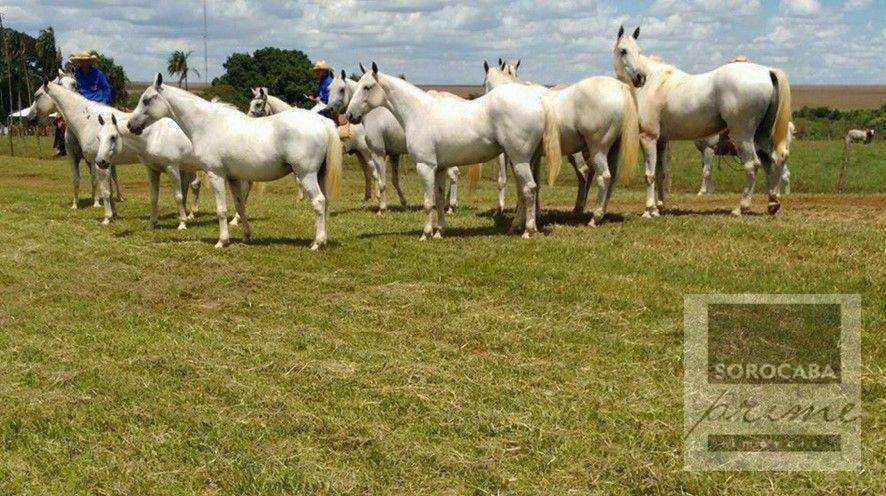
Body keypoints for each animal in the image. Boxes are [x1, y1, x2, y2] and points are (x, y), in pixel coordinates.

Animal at [31, 70, 122, 207]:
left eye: (37, 96)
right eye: (60, 83)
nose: (31, 119)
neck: (83, 123)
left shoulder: (94, 159)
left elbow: (95, 179)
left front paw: (96, 203)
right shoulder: (73, 157)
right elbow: (76, 179)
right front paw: (75, 204)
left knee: (114, 176)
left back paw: (118, 197)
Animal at [128, 72, 344, 248]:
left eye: (146, 100)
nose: (130, 125)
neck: (207, 124)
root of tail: (320, 121)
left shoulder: (216, 175)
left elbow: (221, 209)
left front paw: (222, 241)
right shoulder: (233, 178)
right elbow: (240, 205)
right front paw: (247, 236)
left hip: (306, 175)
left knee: (318, 202)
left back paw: (317, 243)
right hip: (319, 175)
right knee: (324, 203)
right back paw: (318, 240)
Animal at [328, 70, 462, 213]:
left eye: (341, 89)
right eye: (329, 89)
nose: (329, 110)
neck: (373, 112)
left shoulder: (376, 153)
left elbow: (381, 180)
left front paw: (382, 207)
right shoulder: (394, 154)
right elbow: (394, 180)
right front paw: (404, 203)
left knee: (453, 174)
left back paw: (451, 207)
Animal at [344, 63, 560, 238]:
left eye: (367, 87)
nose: (349, 115)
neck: (419, 113)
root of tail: (537, 101)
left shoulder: (425, 166)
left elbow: (428, 201)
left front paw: (426, 233)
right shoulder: (439, 168)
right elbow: (439, 199)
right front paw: (440, 231)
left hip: (519, 158)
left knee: (529, 189)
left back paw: (528, 231)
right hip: (523, 160)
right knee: (524, 191)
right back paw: (516, 227)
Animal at [616, 24, 792, 215]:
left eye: (638, 51)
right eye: (623, 50)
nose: (640, 78)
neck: (654, 83)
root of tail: (767, 71)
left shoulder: (648, 138)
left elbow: (649, 175)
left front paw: (649, 210)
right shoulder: (661, 141)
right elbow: (661, 173)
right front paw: (660, 206)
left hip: (743, 136)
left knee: (752, 165)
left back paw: (741, 208)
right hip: (762, 136)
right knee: (772, 161)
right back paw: (773, 203)